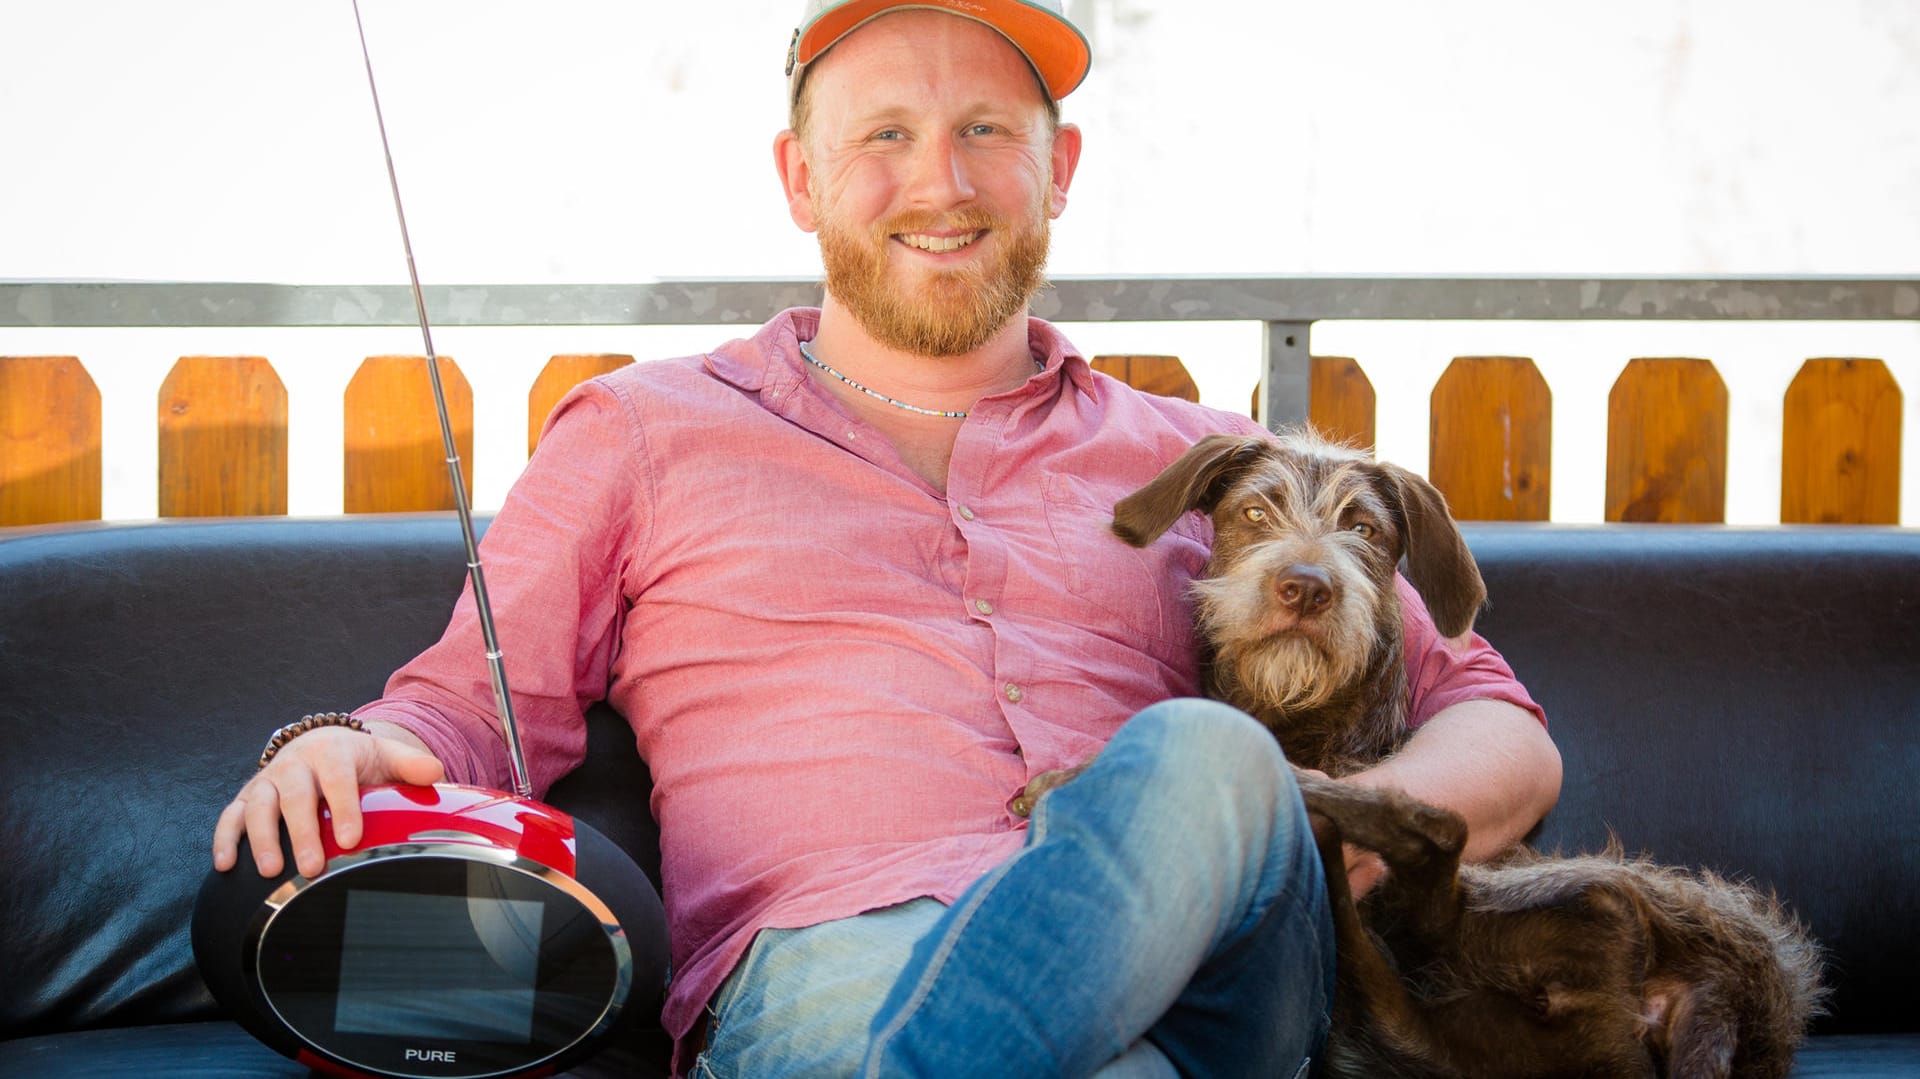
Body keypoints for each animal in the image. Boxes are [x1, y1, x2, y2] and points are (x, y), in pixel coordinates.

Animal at [1105, 428, 1820, 1075]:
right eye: (1255, 512)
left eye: (1364, 529)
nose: (1306, 587)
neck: (1299, 714)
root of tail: (1732, 999)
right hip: (1439, 1036)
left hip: (1548, 892)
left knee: (1436, 841)